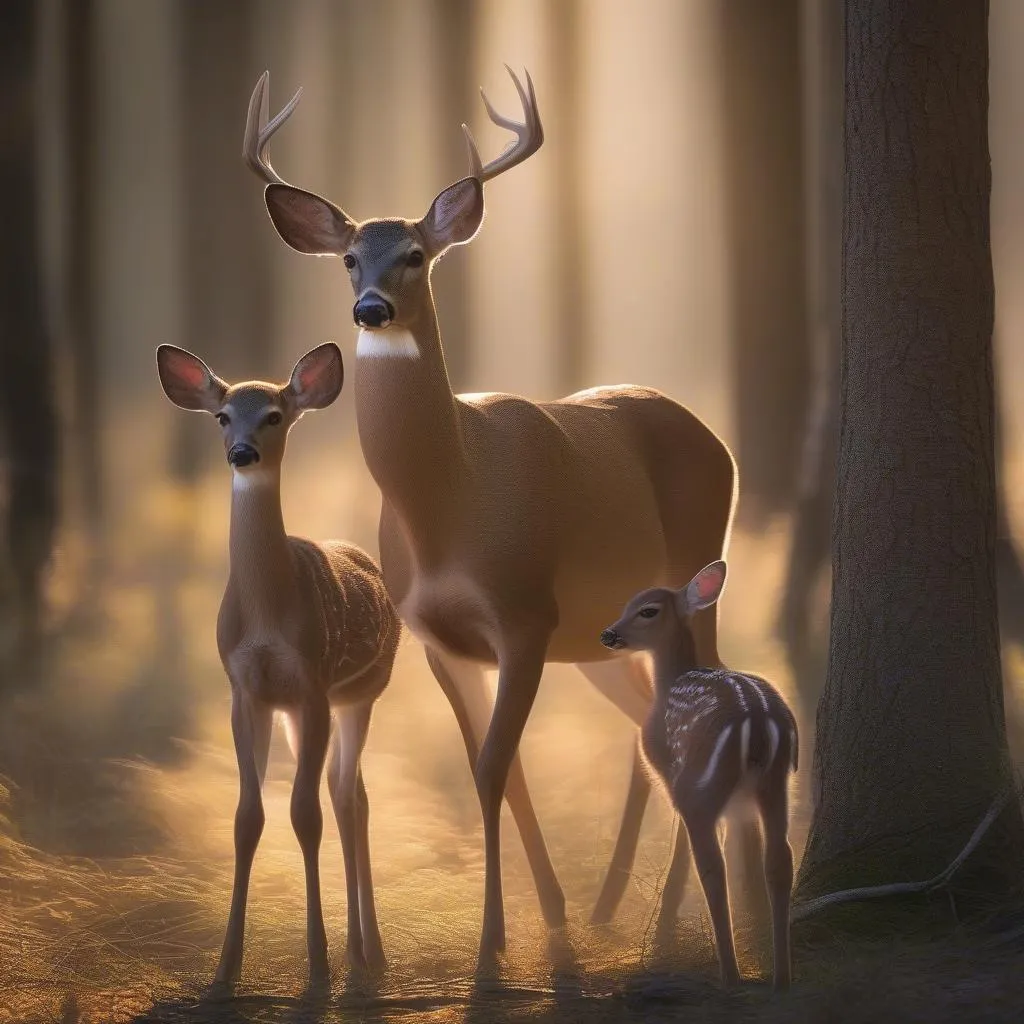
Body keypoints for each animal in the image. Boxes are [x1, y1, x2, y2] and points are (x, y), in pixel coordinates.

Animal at [153, 344, 397, 991]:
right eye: (221, 416)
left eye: (274, 415)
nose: (241, 453)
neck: (266, 617)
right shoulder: (247, 690)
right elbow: (247, 817)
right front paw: (224, 968)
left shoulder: (311, 683)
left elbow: (304, 815)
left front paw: (317, 965)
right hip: (303, 710)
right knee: (349, 789)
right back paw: (360, 949)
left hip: (360, 694)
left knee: (349, 796)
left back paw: (368, 951)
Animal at [239, 68, 737, 962]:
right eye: (348, 257)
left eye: (415, 254)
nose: (370, 308)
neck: (450, 505)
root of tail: (716, 437)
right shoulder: (440, 637)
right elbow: (500, 770)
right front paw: (548, 916)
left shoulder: (525, 613)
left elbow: (496, 766)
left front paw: (493, 940)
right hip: (605, 638)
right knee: (643, 725)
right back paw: (611, 905)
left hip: (693, 568)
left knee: (699, 700)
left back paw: (664, 918)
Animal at [598, 561, 798, 991]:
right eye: (626, 603)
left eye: (647, 610)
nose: (608, 634)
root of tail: (757, 722)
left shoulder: (671, 775)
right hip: (777, 783)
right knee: (780, 859)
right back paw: (781, 977)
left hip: (700, 787)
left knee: (712, 868)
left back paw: (730, 976)